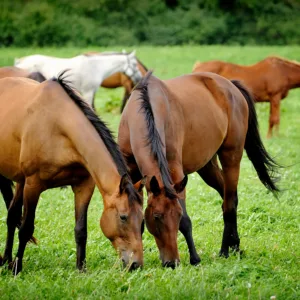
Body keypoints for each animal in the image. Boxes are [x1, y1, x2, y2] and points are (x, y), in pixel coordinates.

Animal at [0, 73, 144, 274]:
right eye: (123, 217)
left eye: (142, 220)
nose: (135, 264)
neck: (57, 126)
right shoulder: (33, 186)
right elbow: (26, 228)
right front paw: (17, 268)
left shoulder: (84, 186)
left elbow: (81, 229)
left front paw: (81, 268)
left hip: (21, 181)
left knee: (12, 215)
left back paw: (6, 259)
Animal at [118, 71, 280, 268]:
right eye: (156, 216)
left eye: (177, 215)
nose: (172, 263)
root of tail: (231, 86)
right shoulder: (133, 175)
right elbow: (137, 219)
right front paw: (133, 260)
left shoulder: (176, 174)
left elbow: (186, 221)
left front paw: (194, 258)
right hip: (207, 166)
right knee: (227, 196)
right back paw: (235, 246)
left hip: (231, 157)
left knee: (229, 204)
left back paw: (225, 250)